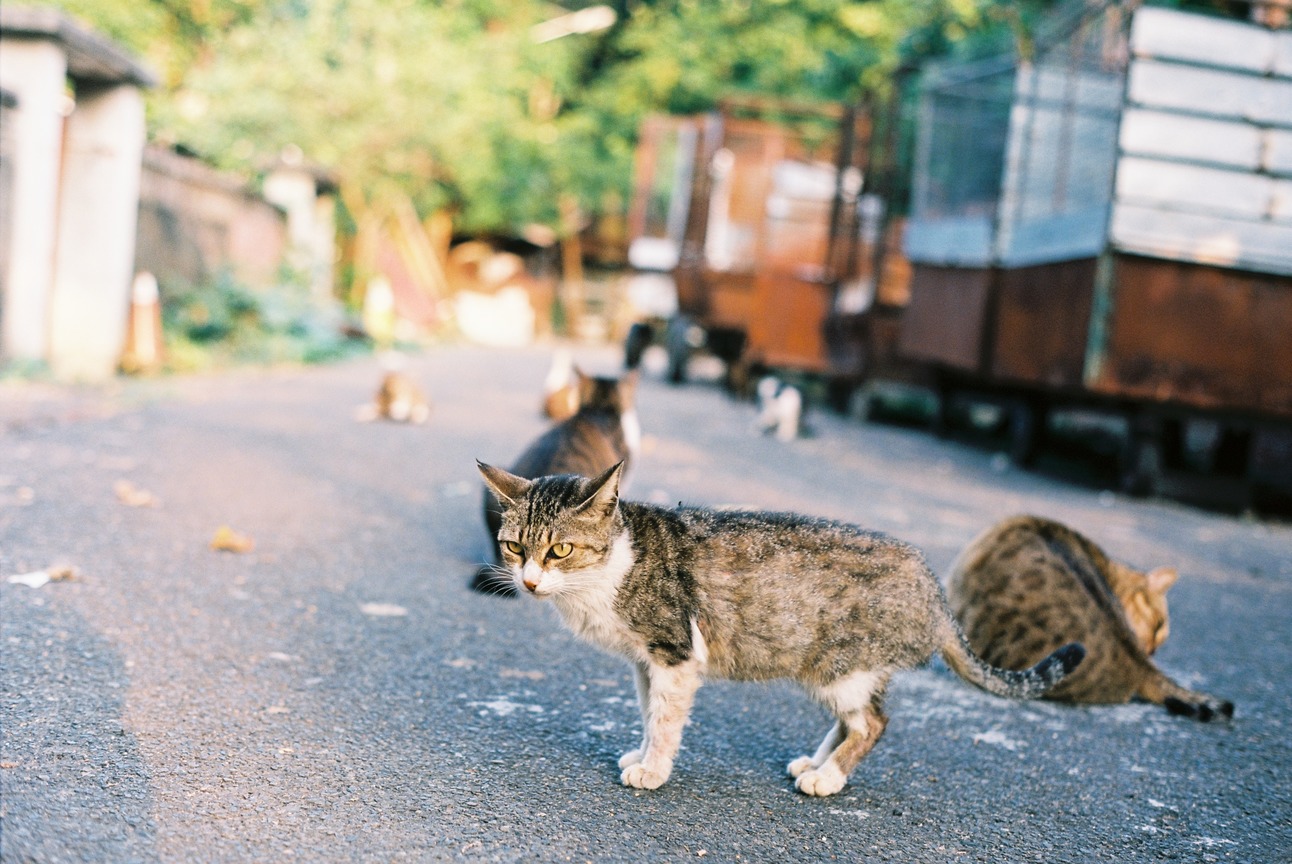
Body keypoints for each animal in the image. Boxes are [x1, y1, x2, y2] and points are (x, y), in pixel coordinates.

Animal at [475, 457, 1080, 795]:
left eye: (560, 550)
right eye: (514, 547)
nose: (529, 582)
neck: (613, 567)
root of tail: (932, 585)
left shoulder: (674, 653)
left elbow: (666, 721)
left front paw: (653, 770)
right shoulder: (646, 662)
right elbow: (649, 714)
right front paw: (641, 753)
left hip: (839, 666)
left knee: (873, 723)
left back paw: (829, 778)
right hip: (842, 669)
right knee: (856, 718)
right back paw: (817, 761)